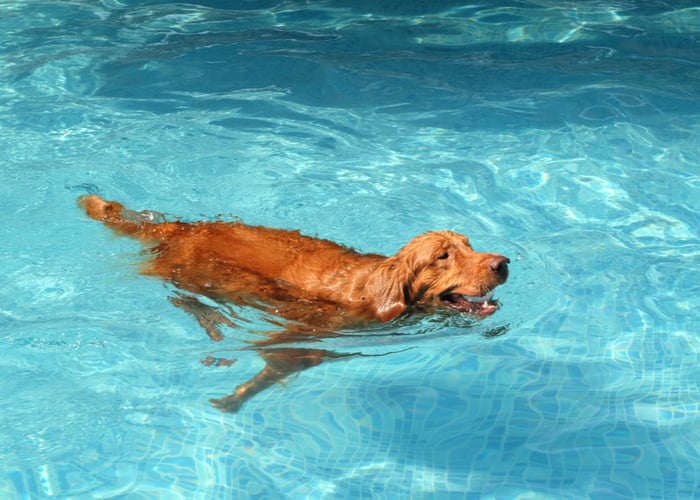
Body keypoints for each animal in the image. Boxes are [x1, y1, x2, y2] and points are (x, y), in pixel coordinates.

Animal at [80, 194, 508, 410]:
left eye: (469, 244)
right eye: (443, 256)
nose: (503, 263)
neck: (373, 289)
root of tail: (184, 226)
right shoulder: (307, 337)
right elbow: (279, 362)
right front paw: (236, 397)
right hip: (192, 276)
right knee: (186, 300)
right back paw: (213, 325)